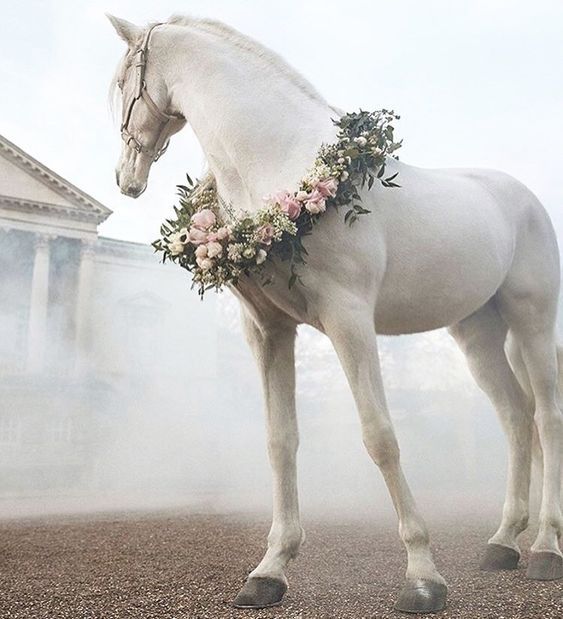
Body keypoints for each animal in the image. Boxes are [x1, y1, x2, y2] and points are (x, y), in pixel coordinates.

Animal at [108, 14, 560, 616]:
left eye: (120, 83)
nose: (125, 178)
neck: (283, 160)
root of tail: (523, 199)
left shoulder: (349, 321)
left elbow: (380, 438)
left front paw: (422, 577)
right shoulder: (268, 332)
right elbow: (281, 442)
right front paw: (269, 571)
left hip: (533, 320)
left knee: (546, 418)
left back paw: (545, 549)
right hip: (476, 334)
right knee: (514, 415)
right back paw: (503, 543)